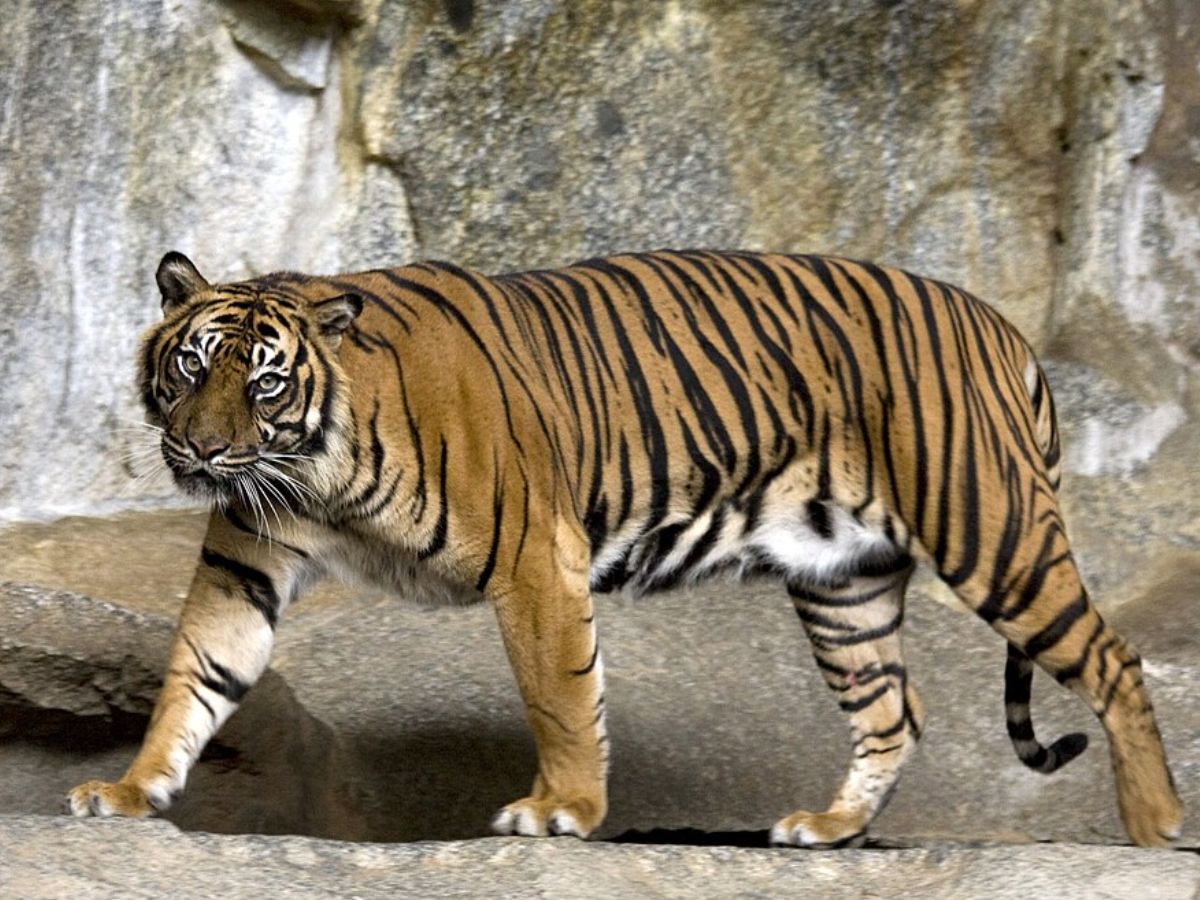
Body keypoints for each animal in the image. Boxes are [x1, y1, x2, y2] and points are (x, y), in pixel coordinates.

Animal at [67, 248, 1182, 848]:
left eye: (262, 382)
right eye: (190, 367)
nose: (203, 450)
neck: (314, 472)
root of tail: (1001, 324)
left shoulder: (533, 555)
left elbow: (560, 695)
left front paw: (561, 808)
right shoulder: (244, 564)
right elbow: (194, 678)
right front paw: (129, 791)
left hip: (991, 529)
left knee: (1115, 660)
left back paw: (1155, 827)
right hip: (845, 582)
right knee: (891, 714)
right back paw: (827, 831)